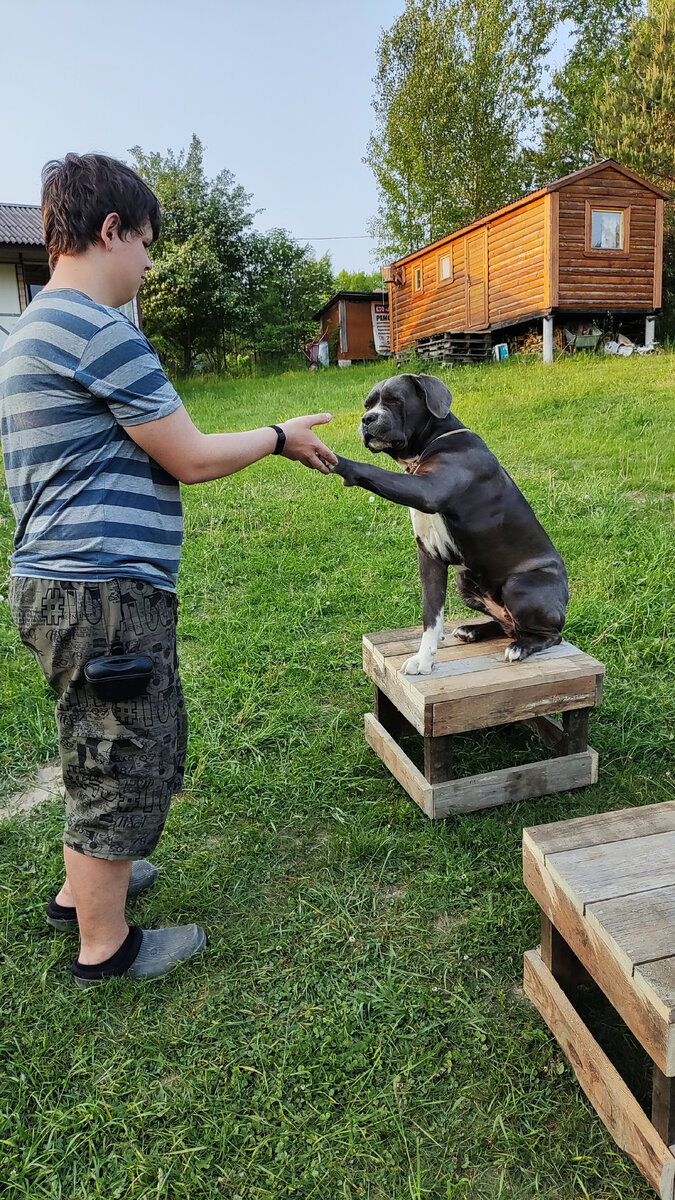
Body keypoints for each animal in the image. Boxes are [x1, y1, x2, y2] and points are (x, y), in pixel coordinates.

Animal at [329, 372, 564, 676]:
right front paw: (425, 656)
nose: (367, 419)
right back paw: (473, 630)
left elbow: (371, 470)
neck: (432, 441)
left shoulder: (427, 490)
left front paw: (333, 459)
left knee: (550, 634)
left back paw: (521, 647)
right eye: (368, 404)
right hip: (465, 583)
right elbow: (431, 612)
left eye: (394, 400)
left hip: (520, 585)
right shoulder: (429, 555)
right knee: (507, 624)